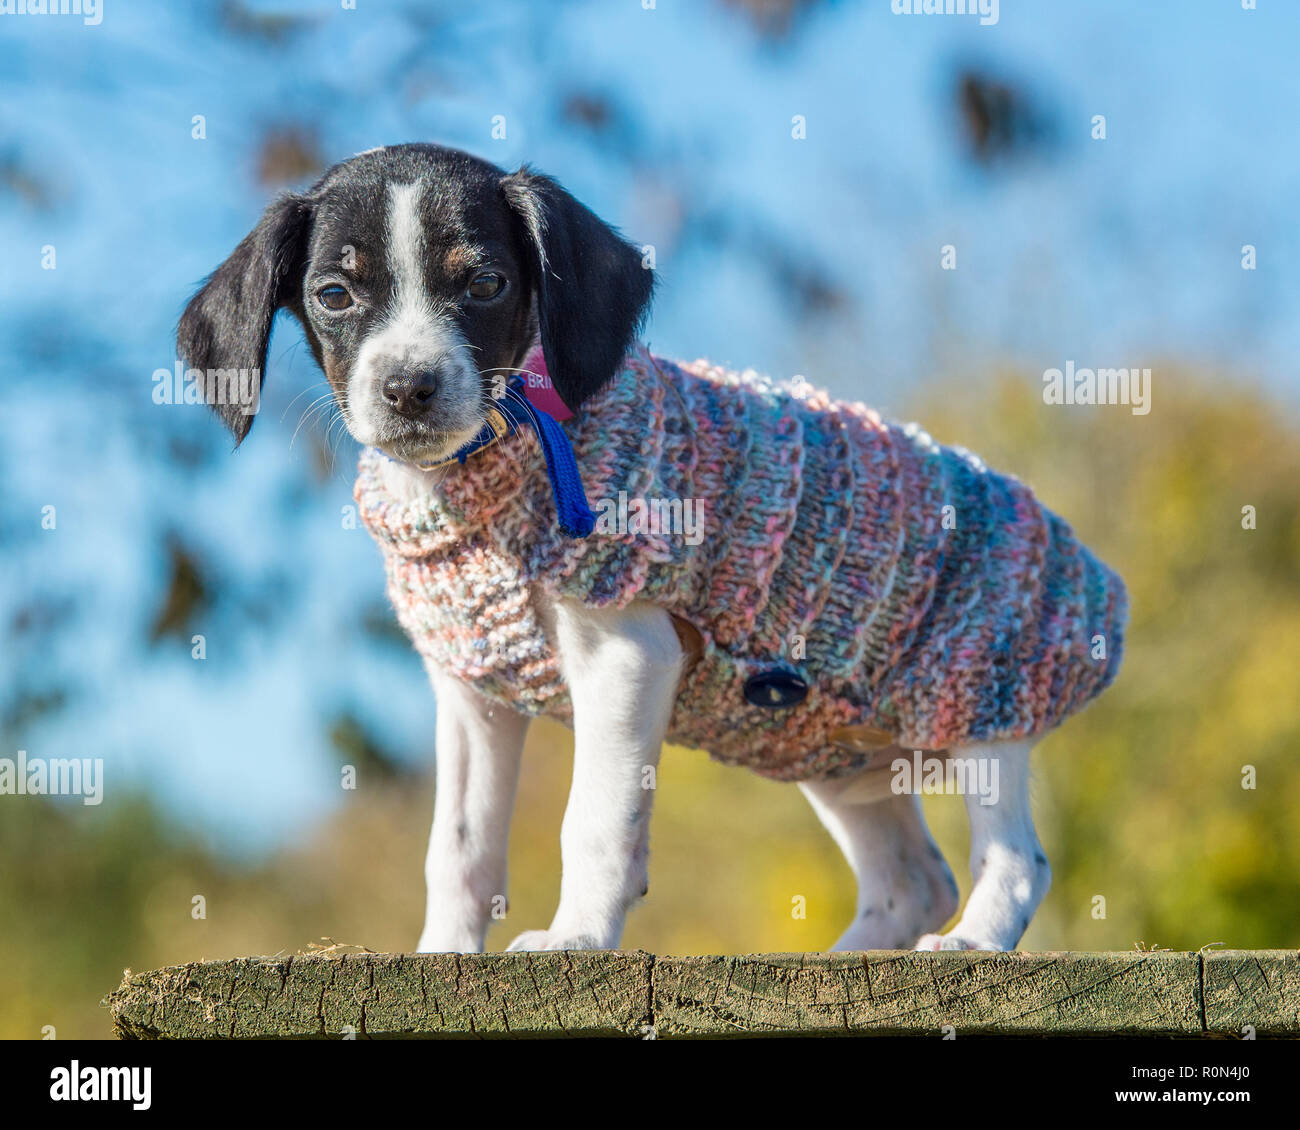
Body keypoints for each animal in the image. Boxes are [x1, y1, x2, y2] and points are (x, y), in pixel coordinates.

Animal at [178, 141, 1123, 951]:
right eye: (335, 294)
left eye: (484, 282)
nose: (409, 387)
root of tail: (1094, 577)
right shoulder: (473, 695)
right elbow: (458, 850)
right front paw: (440, 956)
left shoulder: (625, 658)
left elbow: (593, 822)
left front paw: (575, 940)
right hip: (832, 756)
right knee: (911, 881)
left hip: (980, 706)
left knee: (1015, 861)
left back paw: (971, 941)